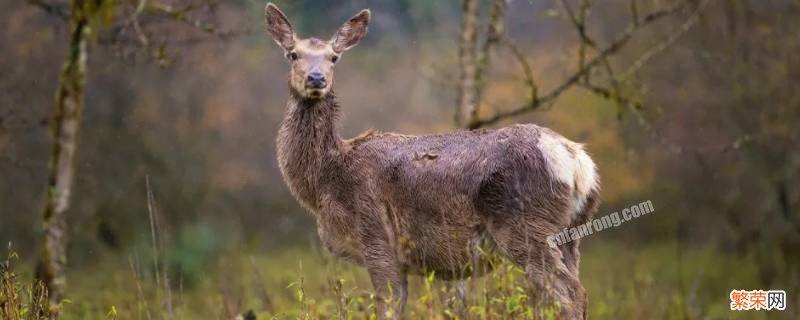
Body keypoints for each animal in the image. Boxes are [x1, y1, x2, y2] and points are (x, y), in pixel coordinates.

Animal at [264, 3, 600, 320]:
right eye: (293, 54)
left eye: (334, 57)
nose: (316, 78)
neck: (326, 179)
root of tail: (580, 165)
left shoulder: (376, 236)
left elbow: (387, 306)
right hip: (571, 234)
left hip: (525, 224)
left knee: (571, 294)